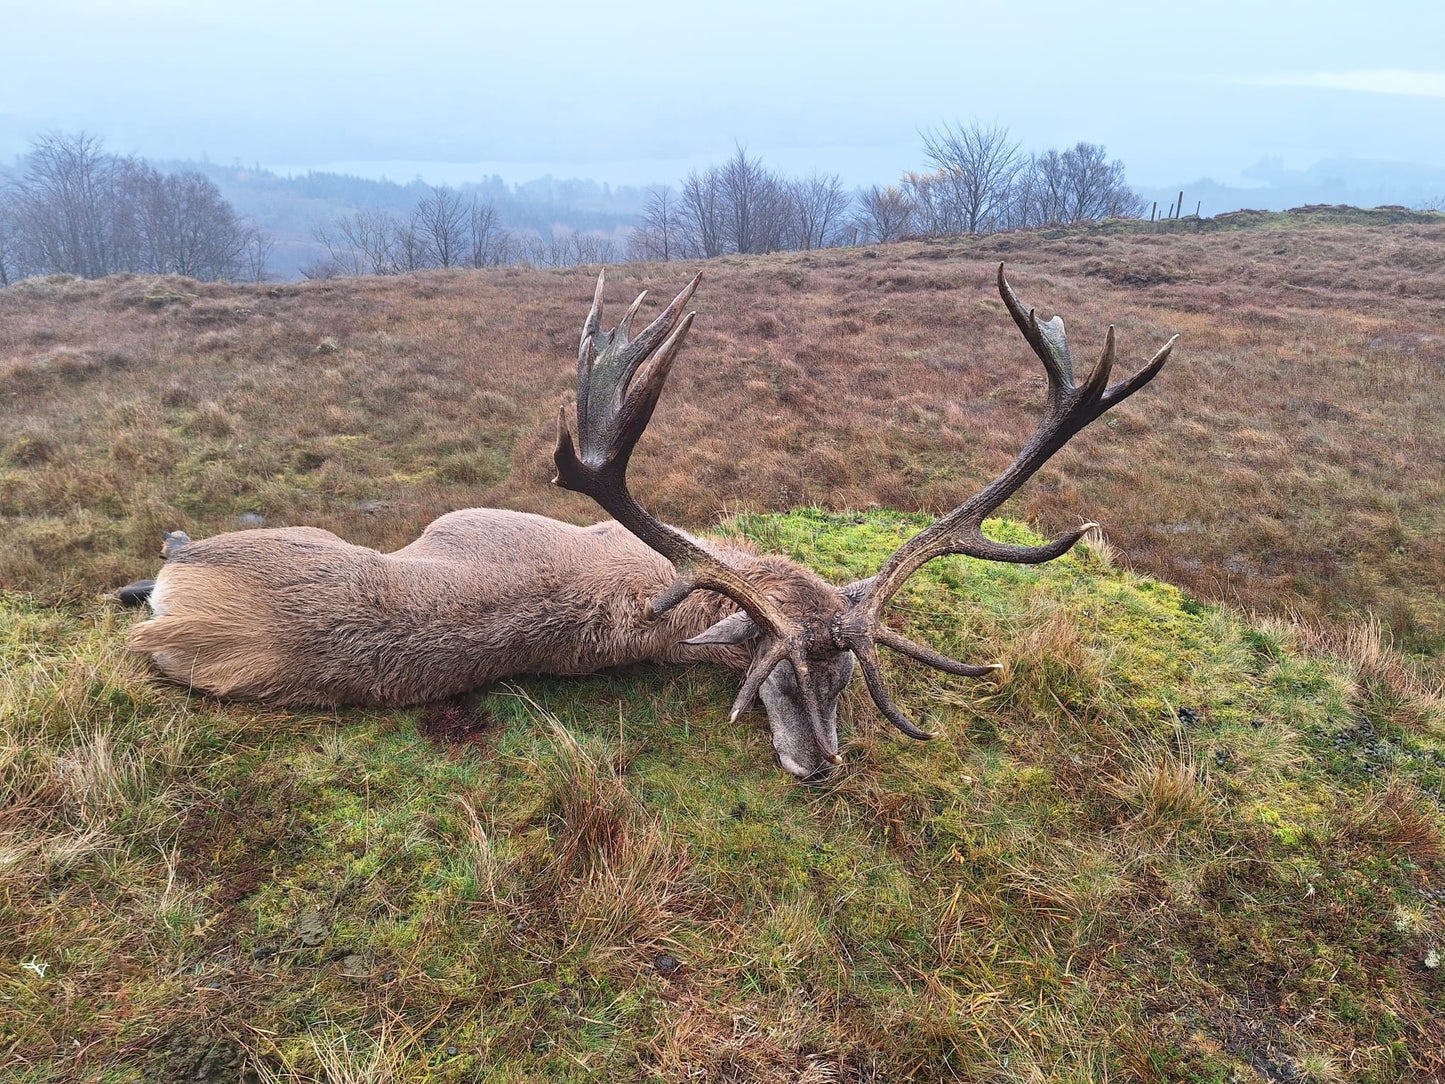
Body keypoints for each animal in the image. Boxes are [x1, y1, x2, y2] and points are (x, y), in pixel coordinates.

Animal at [122, 266, 1175, 779]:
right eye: (778, 678)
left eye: (842, 681)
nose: (823, 768)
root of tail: (182, 612)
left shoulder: (467, 514)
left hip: (250, 544)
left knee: (161, 558)